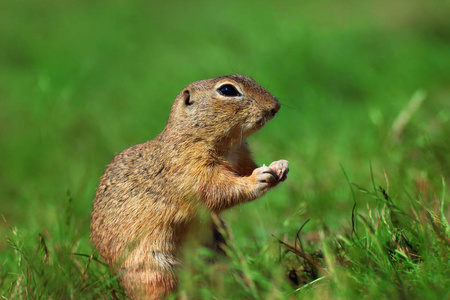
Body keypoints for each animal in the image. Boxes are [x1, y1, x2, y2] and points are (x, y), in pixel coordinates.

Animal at [91, 74, 288, 298]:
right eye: (228, 90)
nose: (276, 106)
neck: (227, 146)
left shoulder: (241, 158)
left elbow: (246, 169)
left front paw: (280, 166)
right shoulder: (191, 171)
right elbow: (218, 190)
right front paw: (258, 178)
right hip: (154, 269)